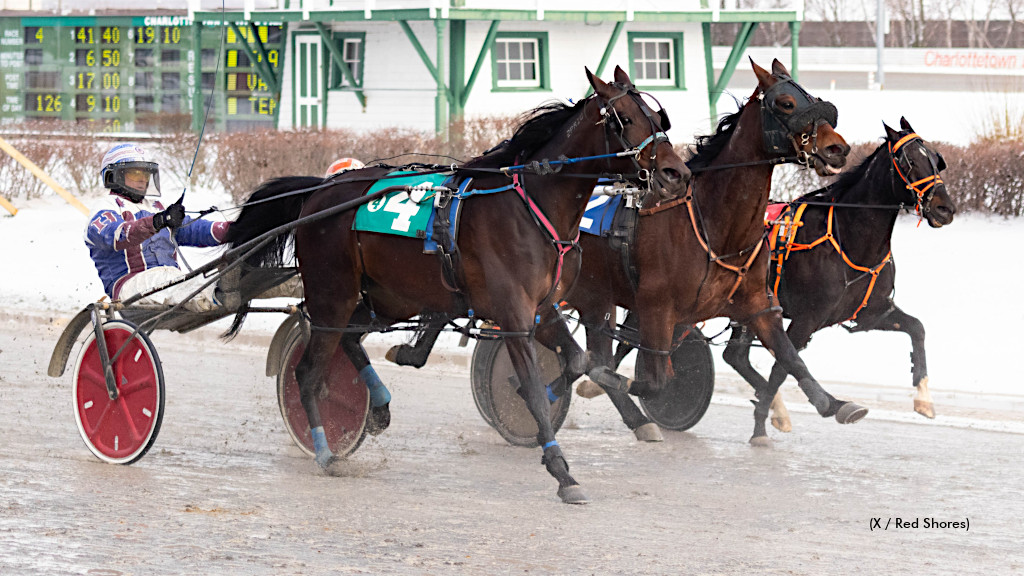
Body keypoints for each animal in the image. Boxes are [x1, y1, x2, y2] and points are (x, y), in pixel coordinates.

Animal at [224, 66, 688, 502]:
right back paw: (325, 452)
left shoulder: (542, 308)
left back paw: (378, 407)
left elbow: (577, 362)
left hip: (390, 297)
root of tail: (320, 190)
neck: (531, 207)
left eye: (657, 116)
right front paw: (562, 472)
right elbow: (536, 386)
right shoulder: (513, 315)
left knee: (352, 338)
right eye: (626, 118)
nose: (676, 173)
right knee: (309, 370)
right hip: (332, 293)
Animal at [540, 59, 868, 444]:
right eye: (786, 103)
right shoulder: (656, 306)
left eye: (814, 98)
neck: (715, 223)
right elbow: (652, 379)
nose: (838, 149)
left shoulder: (757, 304)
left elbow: (791, 358)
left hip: (598, 299)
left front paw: (834, 404)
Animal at [724, 117, 954, 430]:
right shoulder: (806, 318)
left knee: (734, 355)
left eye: (935, 159)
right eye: (908, 161)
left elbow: (917, 328)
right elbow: (784, 365)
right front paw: (763, 422)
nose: (945, 208)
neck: (851, 239)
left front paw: (924, 398)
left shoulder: (872, 310)